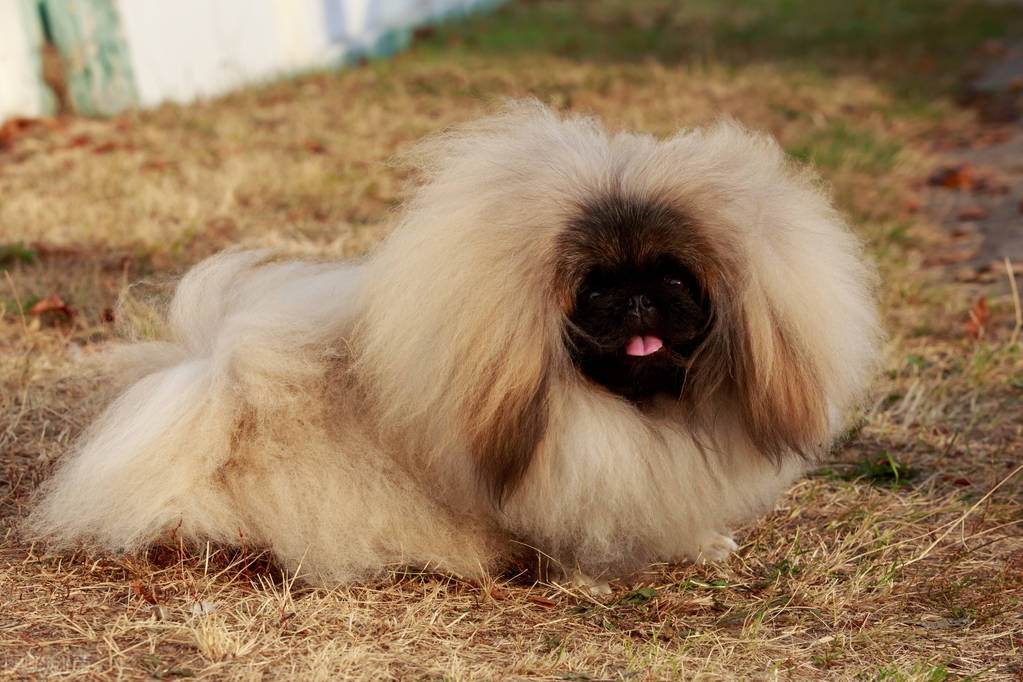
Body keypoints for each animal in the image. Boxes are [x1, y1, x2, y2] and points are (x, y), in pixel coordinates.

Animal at [28, 102, 883, 588]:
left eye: (674, 280)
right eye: (594, 289)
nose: (638, 296)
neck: (628, 411)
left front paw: (702, 543)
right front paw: (587, 576)